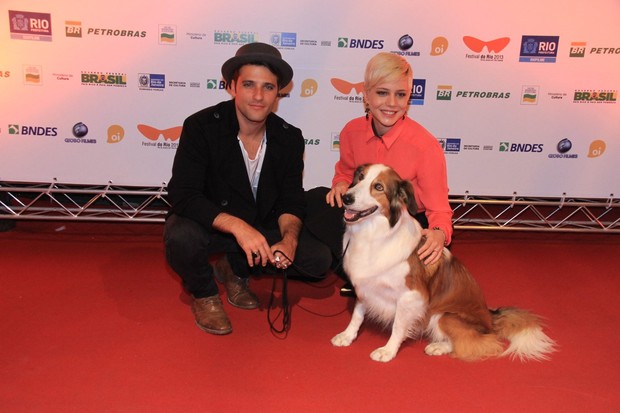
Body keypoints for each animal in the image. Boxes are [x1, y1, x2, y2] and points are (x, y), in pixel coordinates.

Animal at [332, 163, 556, 362]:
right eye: (360, 177)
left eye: (378, 187)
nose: (346, 197)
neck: (374, 234)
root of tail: (490, 320)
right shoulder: (365, 285)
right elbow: (357, 314)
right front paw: (347, 336)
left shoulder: (411, 297)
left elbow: (398, 326)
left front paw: (388, 351)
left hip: (445, 315)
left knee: (477, 342)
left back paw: (438, 346)